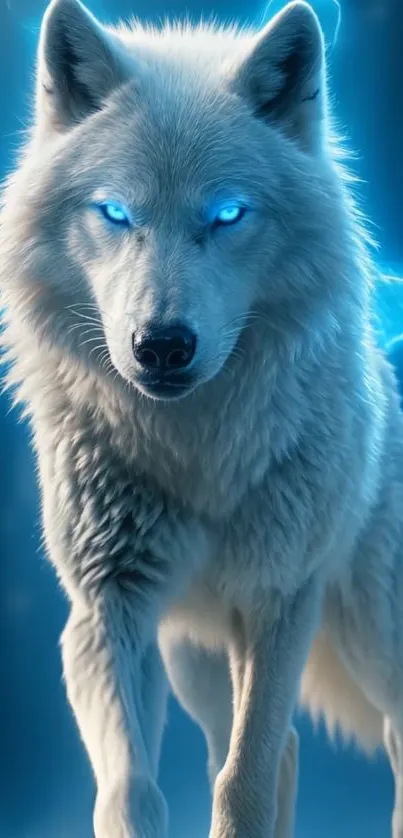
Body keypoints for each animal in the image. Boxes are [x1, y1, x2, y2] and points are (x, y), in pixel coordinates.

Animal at [1, 0, 403, 836]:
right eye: (115, 213)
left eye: (226, 216)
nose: (161, 346)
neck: (194, 450)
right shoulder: (107, 607)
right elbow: (133, 788)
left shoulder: (279, 600)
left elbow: (239, 783)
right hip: (194, 654)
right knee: (285, 748)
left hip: (368, 630)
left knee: (379, 731)